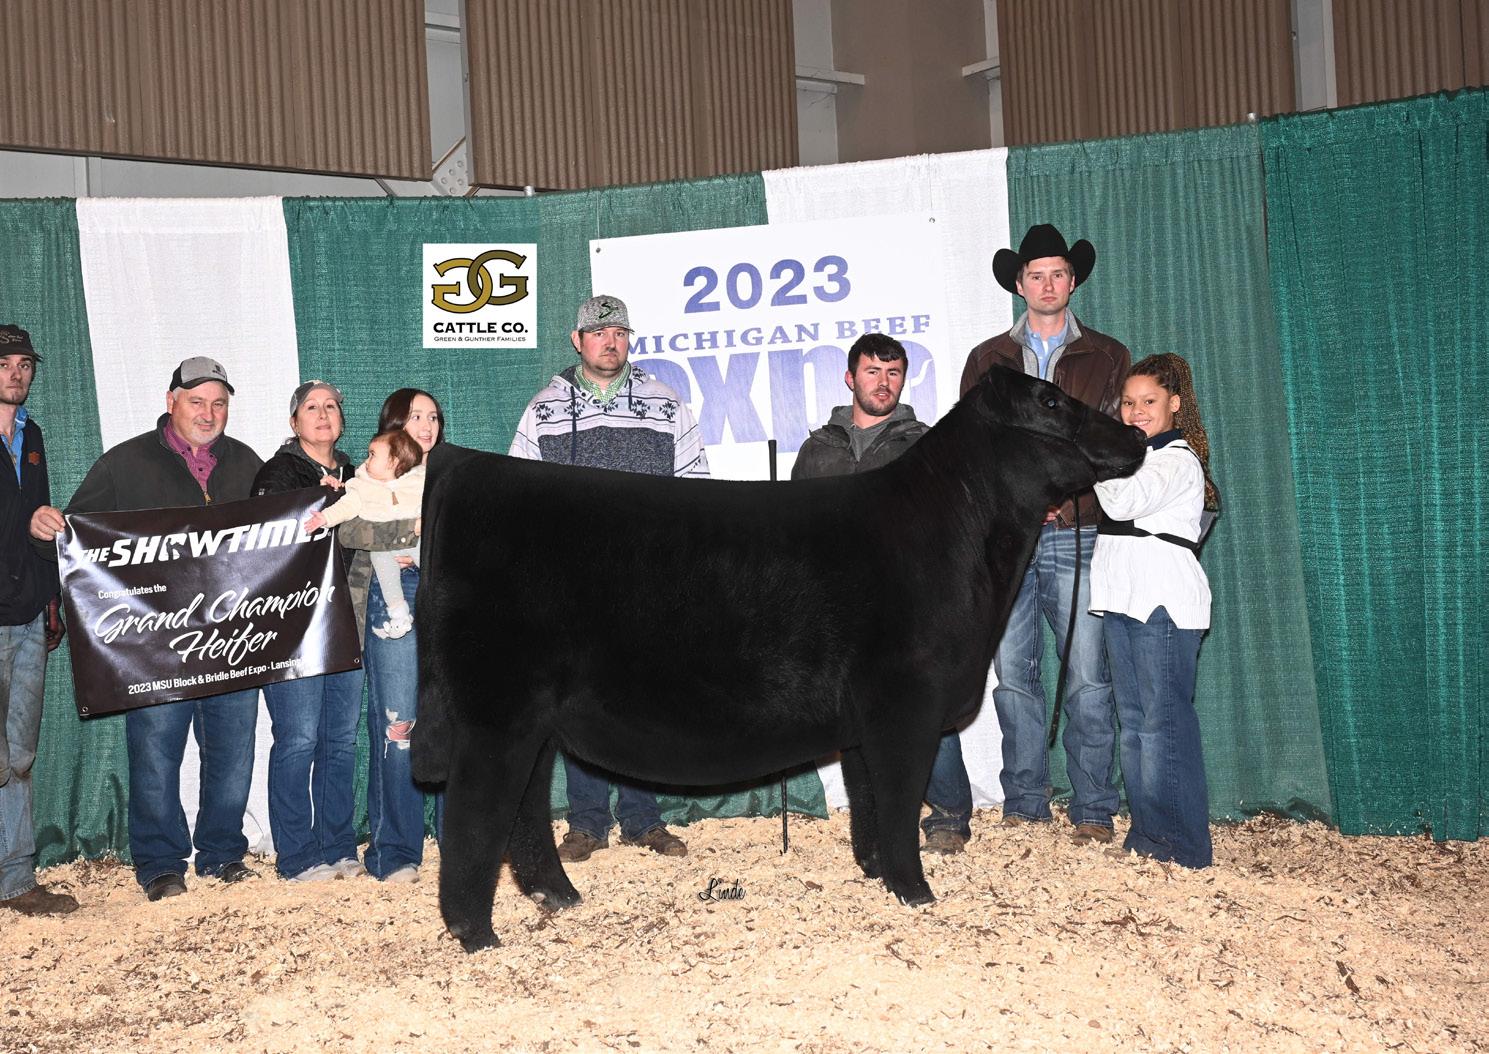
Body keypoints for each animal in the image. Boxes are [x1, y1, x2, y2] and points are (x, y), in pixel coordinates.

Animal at [411, 366, 1145, 952]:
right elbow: (899, 798)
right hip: (495, 712)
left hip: (532, 717)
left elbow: (869, 798)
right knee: (475, 812)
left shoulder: (865, 718)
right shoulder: (905, 702)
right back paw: (476, 934)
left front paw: (876, 873)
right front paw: (914, 890)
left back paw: (557, 896)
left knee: (526, 805)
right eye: (1049, 400)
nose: (1135, 435)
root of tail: (463, 466)